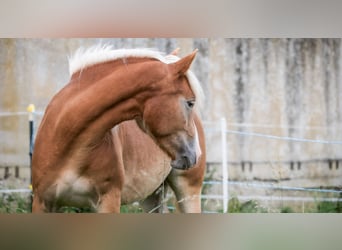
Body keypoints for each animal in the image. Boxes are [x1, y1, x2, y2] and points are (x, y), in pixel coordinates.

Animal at [31, 46, 203, 212]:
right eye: (190, 103)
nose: (196, 153)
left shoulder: (109, 201)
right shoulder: (41, 202)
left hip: (188, 191)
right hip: (151, 196)